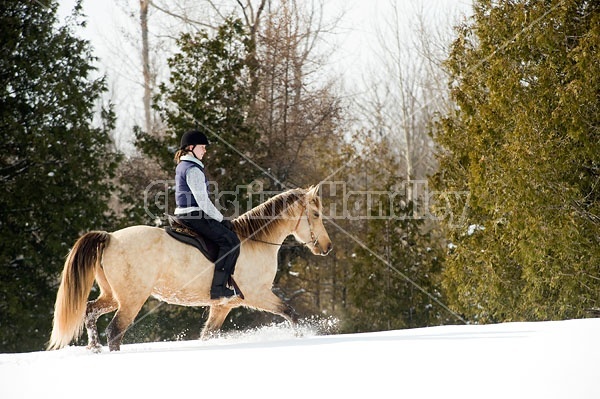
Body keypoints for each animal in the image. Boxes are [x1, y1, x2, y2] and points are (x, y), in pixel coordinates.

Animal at [47, 186, 332, 352]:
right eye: (316, 214)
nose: (327, 247)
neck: (254, 241)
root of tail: (111, 238)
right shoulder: (257, 295)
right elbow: (290, 312)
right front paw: (301, 336)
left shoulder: (223, 306)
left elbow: (208, 335)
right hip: (131, 300)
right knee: (115, 332)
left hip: (113, 296)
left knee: (90, 312)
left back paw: (93, 348)